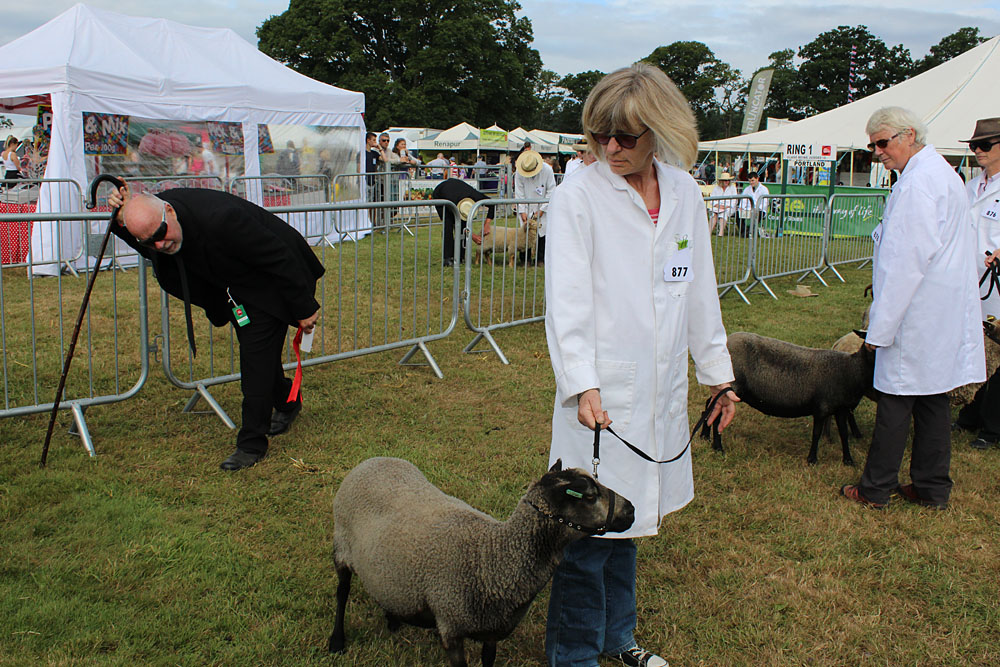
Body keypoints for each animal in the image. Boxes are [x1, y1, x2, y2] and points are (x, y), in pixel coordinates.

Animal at [332, 456, 636, 664]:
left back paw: (393, 621)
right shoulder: (451, 628)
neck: (491, 557)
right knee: (342, 592)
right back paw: (337, 641)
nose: (632, 510)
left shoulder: (493, 632)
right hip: (341, 546)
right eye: (589, 496)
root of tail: (373, 460)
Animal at [704, 332, 876, 468]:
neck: (851, 369)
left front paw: (848, 461)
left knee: (710, 405)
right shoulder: (822, 408)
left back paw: (705, 437)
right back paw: (718, 447)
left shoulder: (842, 409)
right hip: (732, 387)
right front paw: (812, 460)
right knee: (718, 412)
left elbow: (844, 434)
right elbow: (816, 434)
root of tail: (728, 340)